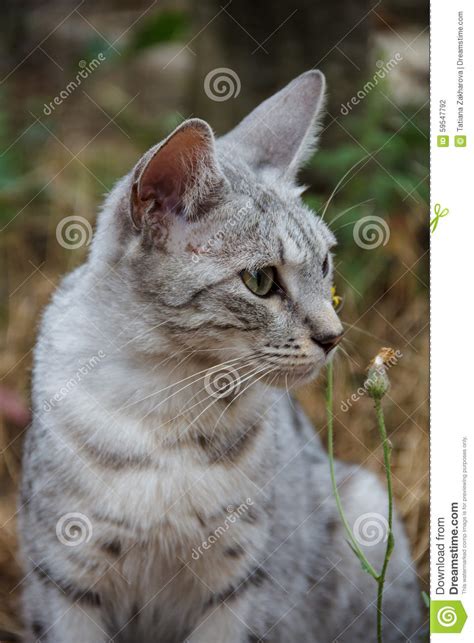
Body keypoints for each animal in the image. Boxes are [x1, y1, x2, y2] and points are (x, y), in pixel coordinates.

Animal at [19, 68, 422, 640]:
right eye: (260, 280)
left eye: (324, 265)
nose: (333, 336)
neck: (169, 400)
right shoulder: (63, 576)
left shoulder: (242, 583)